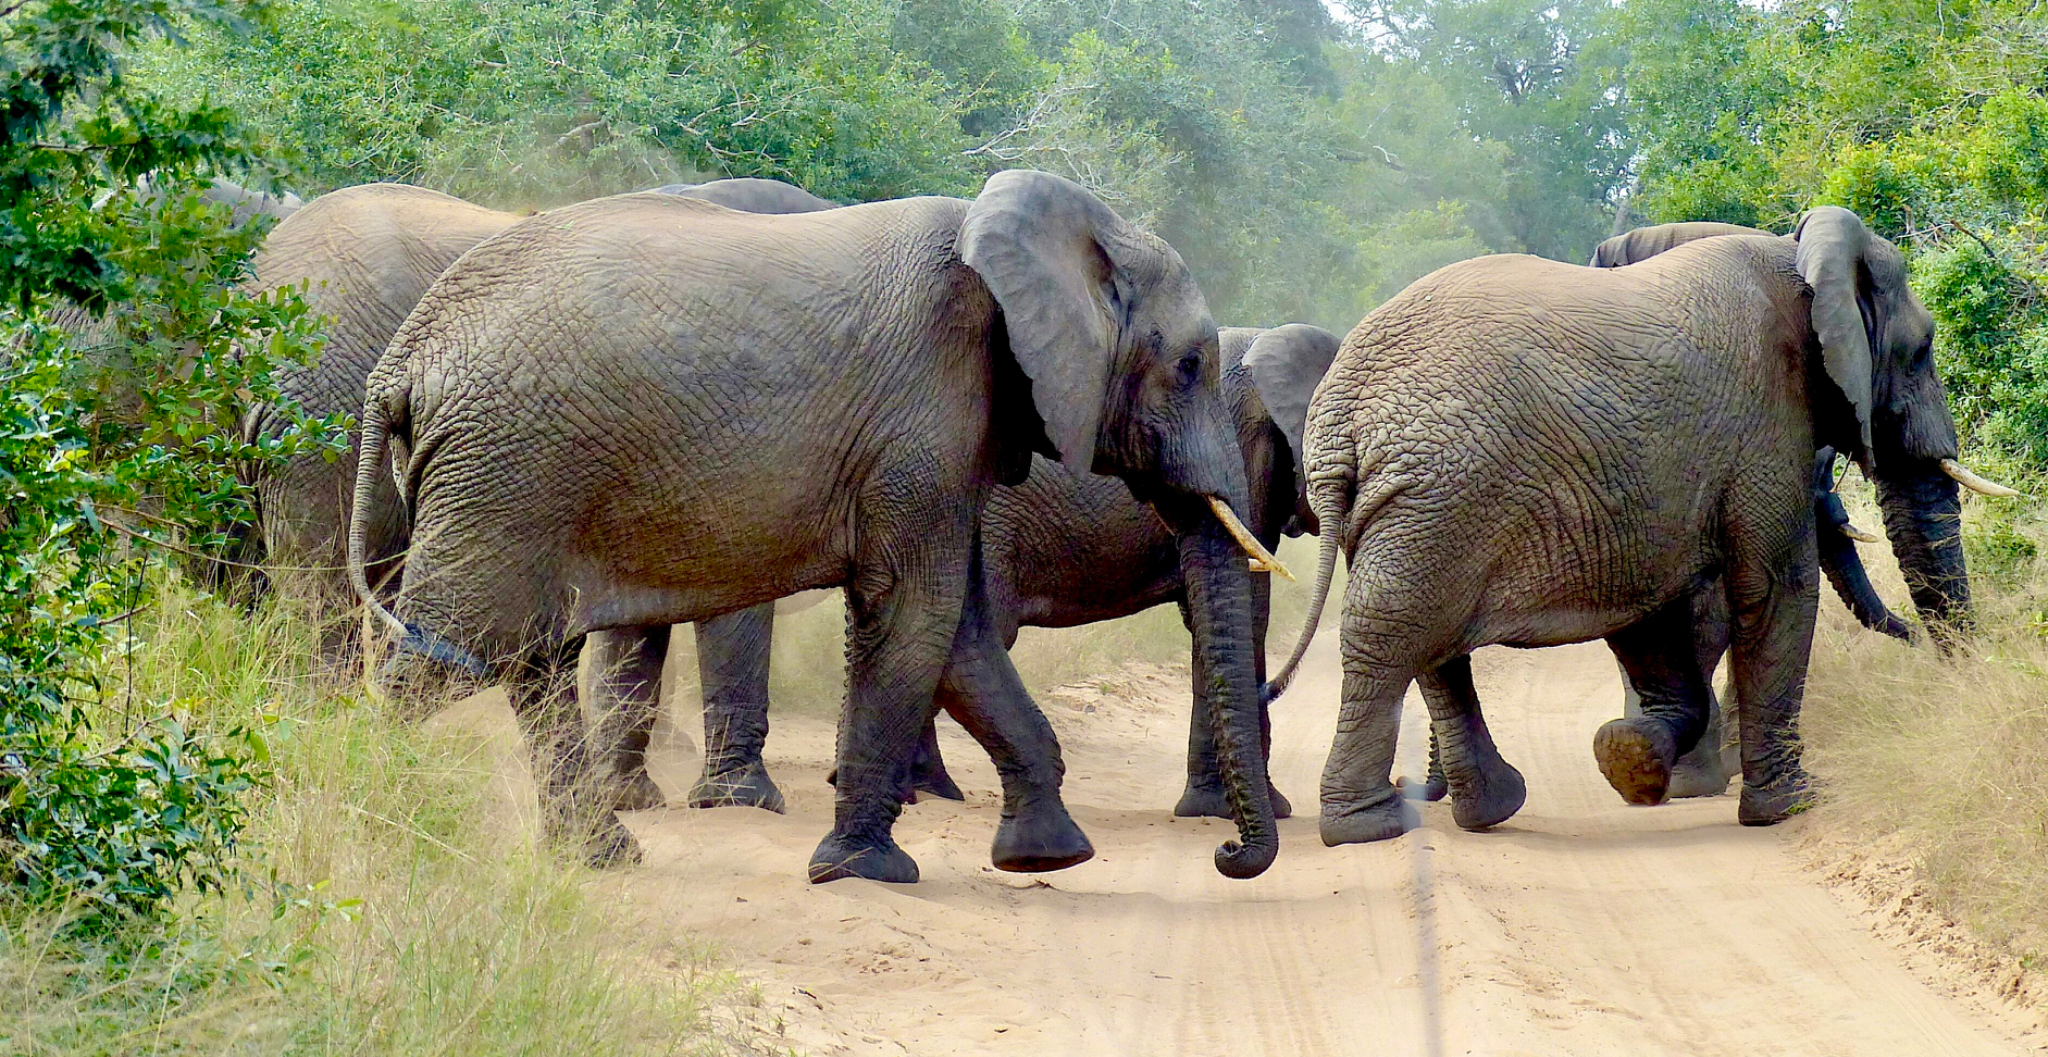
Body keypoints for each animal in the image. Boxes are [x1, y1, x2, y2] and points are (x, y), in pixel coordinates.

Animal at [1269, 206, 2011, 846]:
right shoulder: (1768, 419)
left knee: (1426, 643)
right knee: (1394, 632)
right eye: (1922, 350)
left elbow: (1650, 611)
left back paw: (1485, 809)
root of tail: (1340, 412)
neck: (1798, 253)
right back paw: (1369, 826)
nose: (1945, 671)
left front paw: (1630, 760)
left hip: (1410, 504)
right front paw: (1791, 806)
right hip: (1437, 495)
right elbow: (1777, 587)